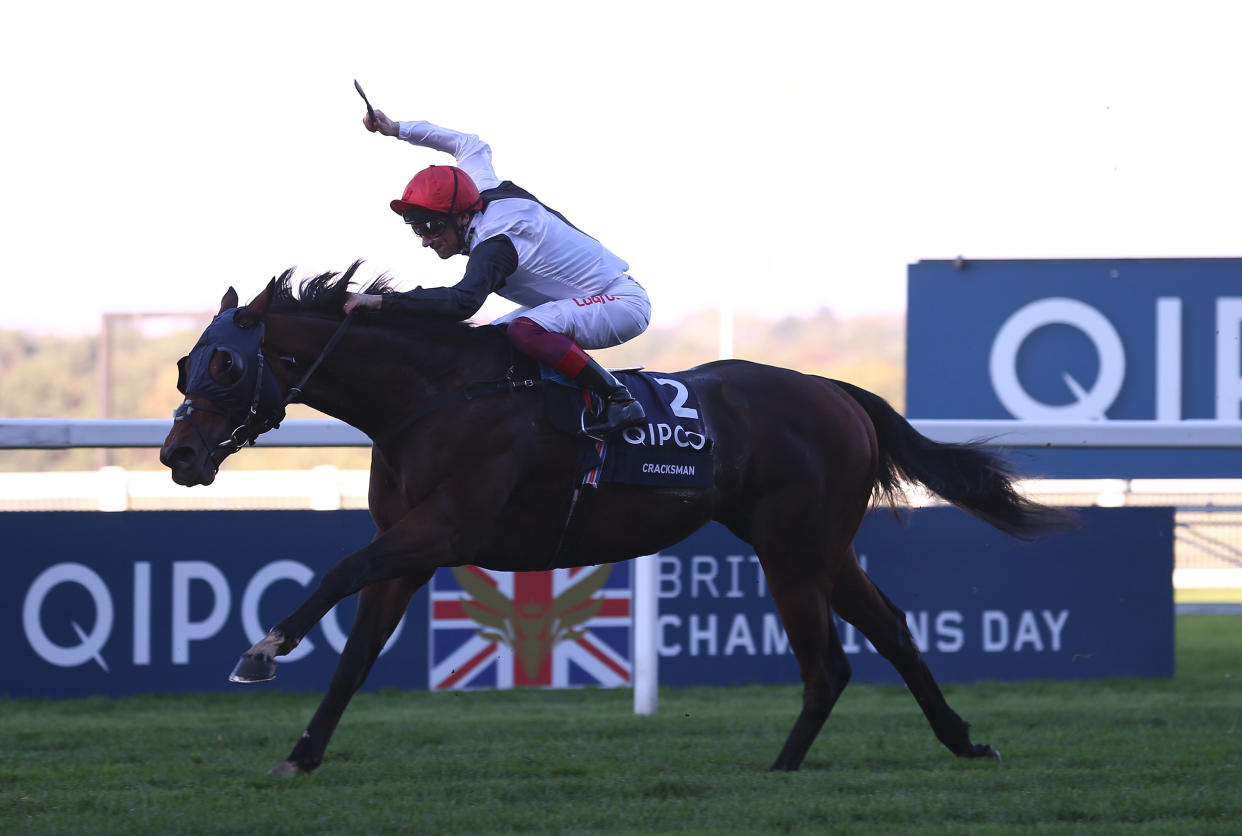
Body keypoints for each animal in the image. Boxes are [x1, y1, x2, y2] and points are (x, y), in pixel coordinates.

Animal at [157, 264, 1068, 775]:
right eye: (184, 363)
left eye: (227, 363)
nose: (177, 453)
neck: (433, 395)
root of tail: (837, 392)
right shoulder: (411, 550)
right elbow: (356, 659)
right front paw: (300, 754)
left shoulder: (444, 530)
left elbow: (340, 571)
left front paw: (262, 649)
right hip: (815, 546)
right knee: (891, 633)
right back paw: (961, 742)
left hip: (793, 550)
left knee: (830, 665)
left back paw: (780, 768)